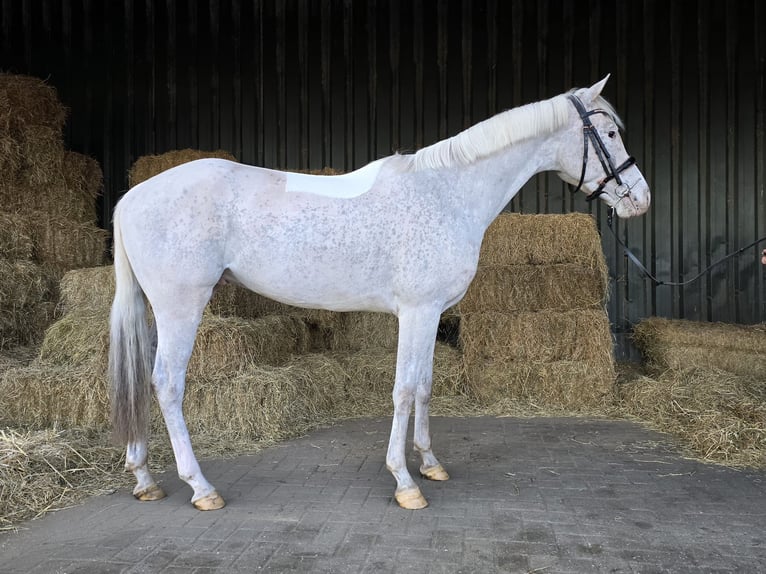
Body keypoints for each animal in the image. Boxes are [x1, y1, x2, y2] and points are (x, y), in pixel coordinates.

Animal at [108, 74, 648, 510]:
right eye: (611, 133)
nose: (639, 199)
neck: (446, 192)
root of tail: (131, 198)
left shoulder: (430, 314)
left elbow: (425, 385)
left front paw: (430, 463)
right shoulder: (417, 312)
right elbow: (405, 389)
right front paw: (405, 482)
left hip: (156, 311)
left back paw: (145, 478)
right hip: (181, 307)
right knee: (166, 384)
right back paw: (201, 488)